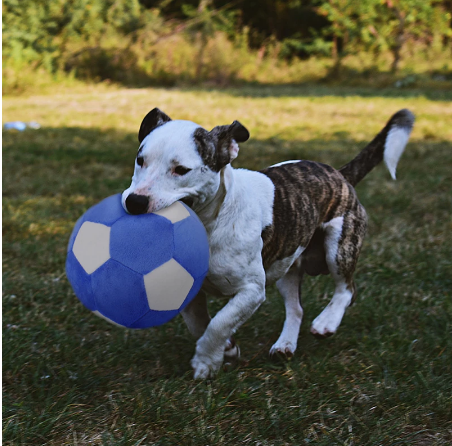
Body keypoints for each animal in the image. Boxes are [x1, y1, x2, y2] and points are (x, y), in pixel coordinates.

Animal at [120, 106, 414, 378]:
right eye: (140, 160)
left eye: (181, 170)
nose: (135, 201)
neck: (210, 223)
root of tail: (340, 175)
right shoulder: (189, 288)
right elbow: (198, 323)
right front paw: (227, 349)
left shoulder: (251, 290)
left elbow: (219, 322)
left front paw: (206, 362)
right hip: (287, 265)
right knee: (296, 308)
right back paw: (285, 345)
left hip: (340, 246)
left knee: (347, 288)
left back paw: (326, 322)